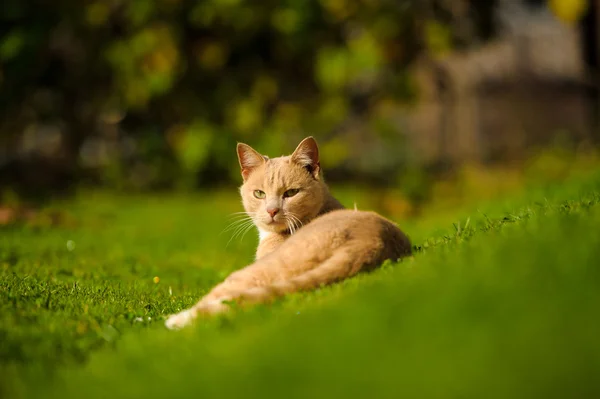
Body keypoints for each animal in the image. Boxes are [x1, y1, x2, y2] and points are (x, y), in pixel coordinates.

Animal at [166, 136, 414, 330]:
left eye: (291, 193)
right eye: (259, 193)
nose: (272, 210)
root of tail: (370, 242)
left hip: (257, 271)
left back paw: (177, 320)